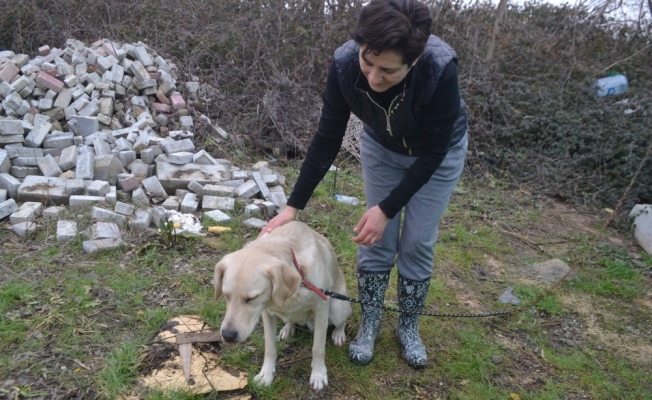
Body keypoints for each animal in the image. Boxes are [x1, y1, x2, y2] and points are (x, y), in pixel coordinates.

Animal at [214, 220, 352, 390]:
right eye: (226, 295)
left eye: (252, 298)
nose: (227, 336)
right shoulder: (267, 313)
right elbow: (270, 348)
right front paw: (266, 374)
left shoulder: (321, 309)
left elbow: (318, 348)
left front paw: (318, 374)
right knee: (291, 319)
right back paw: (288, 328)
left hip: (337, 309)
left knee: (342, 321)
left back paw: (339, 334)